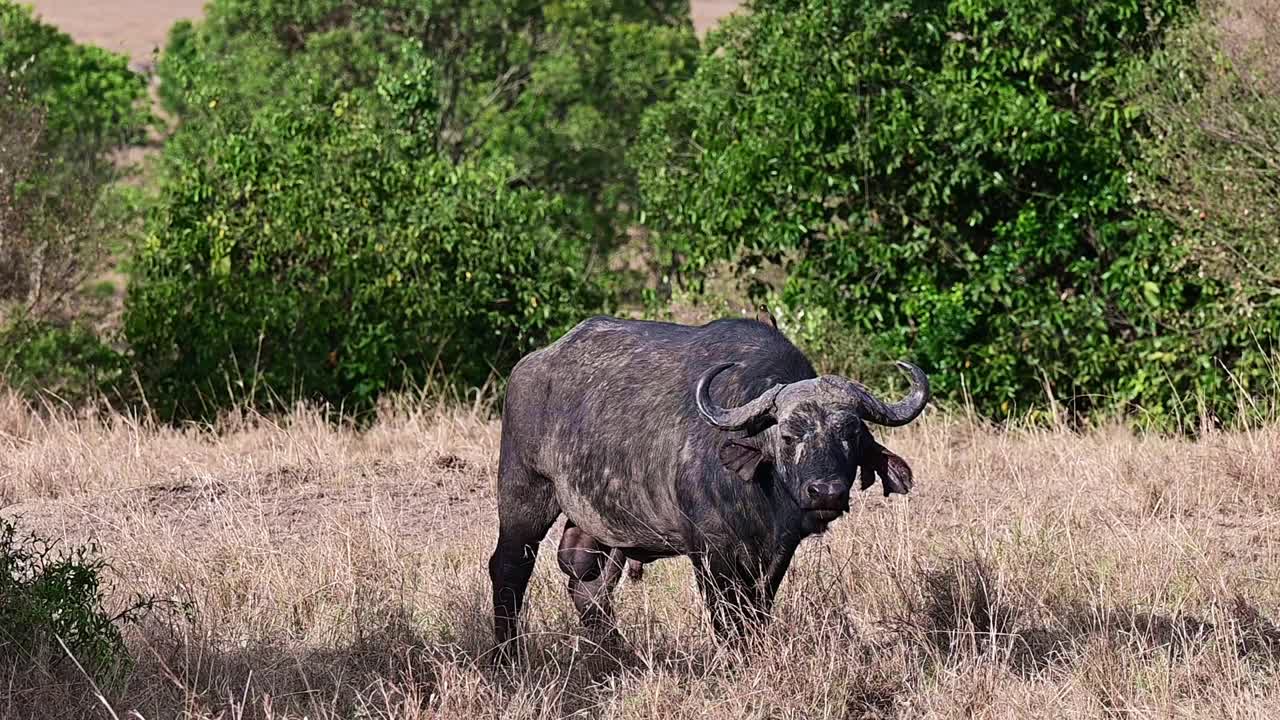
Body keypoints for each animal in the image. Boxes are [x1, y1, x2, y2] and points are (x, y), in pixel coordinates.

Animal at [483, 313, 926, 655]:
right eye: (788, 436)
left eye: (851, 435)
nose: (826, 492)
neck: (759, 493)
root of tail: (530, 366)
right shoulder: (712, 552)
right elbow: (725, 612)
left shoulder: (778, 551)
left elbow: (757, 607)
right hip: (525, 492)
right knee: (509, 567)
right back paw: (507, 652)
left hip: (599, 522)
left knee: (588, 581)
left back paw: (614, 650)